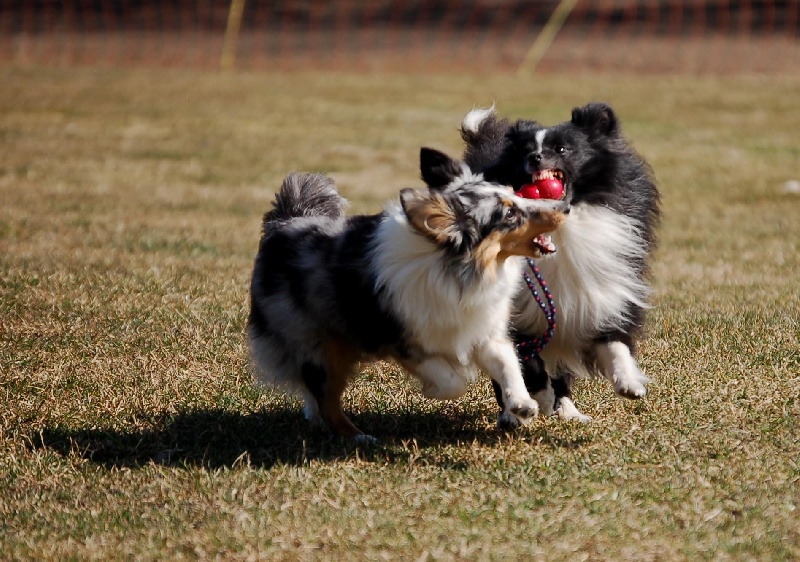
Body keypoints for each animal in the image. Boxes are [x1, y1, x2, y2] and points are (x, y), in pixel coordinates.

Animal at [250, 147, 568, 436]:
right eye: (510, 213)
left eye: (517, 194)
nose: (565, 207)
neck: (459, 269)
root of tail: (286, 222)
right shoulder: (403, 339)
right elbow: (452, 381)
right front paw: (435, 390)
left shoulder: (484, 328)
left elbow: (508, 365)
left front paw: (522, 405)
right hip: (317, 345)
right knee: (326, 399)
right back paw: (357, 436)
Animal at [460, 101, 660, 424]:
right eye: (526, 151)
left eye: (563, 149)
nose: (535, 157)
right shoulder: (519, 311)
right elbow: (527, 364)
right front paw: (538, 399)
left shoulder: (603, 292)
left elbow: (615, 340)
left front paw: (630, 383)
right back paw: (514, 415)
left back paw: (569, 411)